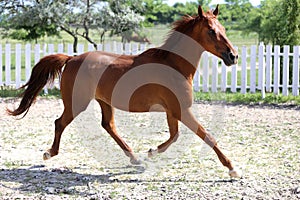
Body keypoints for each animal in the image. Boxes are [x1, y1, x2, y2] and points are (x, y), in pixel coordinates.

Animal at [7, 4, 241, 177]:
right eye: (211, 31)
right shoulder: (181, 109)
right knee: (60, 122)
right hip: (77, 103)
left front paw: (150, 152)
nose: (233, 56)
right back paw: (49, 153)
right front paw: (232, 169)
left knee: (108, 126)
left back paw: (136, 159)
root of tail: (72, 58)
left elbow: (175, 135)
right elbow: (207, 136)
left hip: (103, 101)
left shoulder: (173, 111)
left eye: (224, 29)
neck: (173, 64)